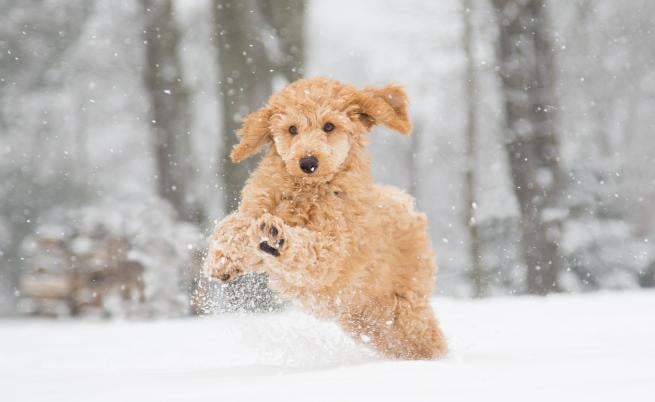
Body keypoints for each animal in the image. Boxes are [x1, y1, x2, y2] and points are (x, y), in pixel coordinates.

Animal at [205, 77, 448, 360]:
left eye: (329, 126)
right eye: (292, 129)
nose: (308, 162)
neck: (306, 191)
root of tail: (407, 205)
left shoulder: (333, 249)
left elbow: (310, 250)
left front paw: (278, 238)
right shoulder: (258, 209)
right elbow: (232, 225)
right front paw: (222, 261)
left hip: (404, 308)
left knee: (427, 338)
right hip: (364, 319)